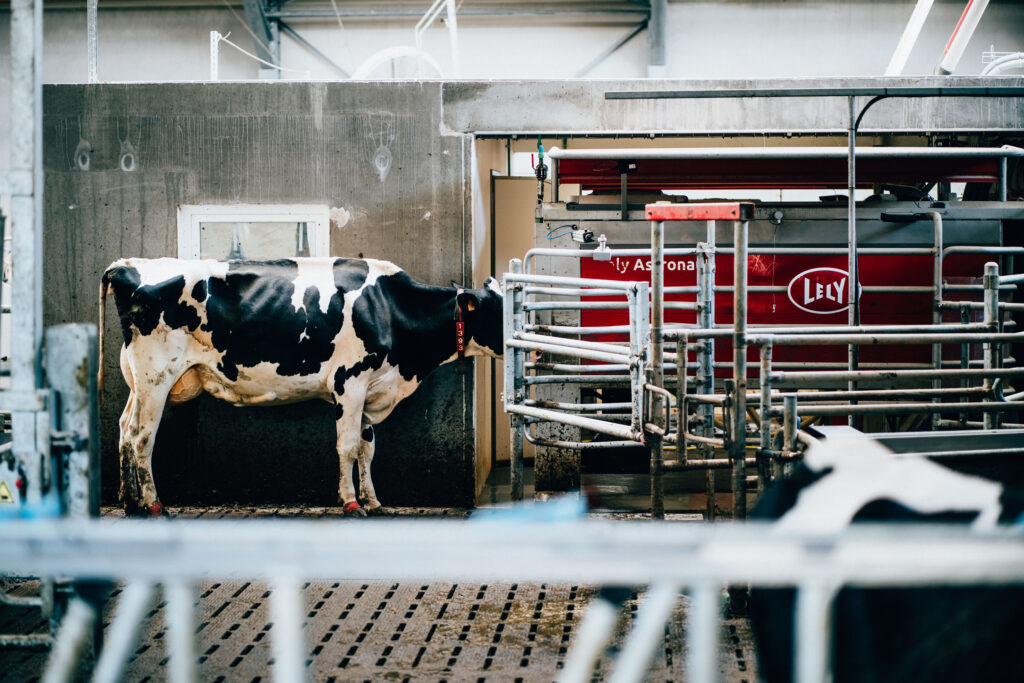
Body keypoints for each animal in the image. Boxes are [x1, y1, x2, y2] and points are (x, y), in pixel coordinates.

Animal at [99, 259, 503, 516]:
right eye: (498, 311)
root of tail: (128, 264)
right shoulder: (350, 382)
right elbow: (347, 446)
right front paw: (351, 503)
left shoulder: (371, 388)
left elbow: (367, 449)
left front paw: (373, 500)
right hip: (156, 377)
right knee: (142, 437)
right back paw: (153, 504)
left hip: (139, 383)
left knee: (125, 430)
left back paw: (129, 501)